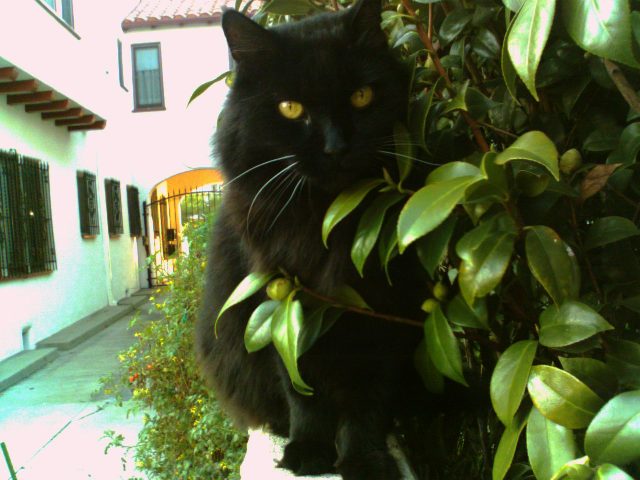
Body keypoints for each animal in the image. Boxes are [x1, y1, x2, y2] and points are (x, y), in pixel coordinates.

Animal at [192, 1, 428, 478]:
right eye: (290, 107)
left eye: (361, 97)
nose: (336, 147)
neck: (324, 222)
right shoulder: (282, 306)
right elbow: (301, 391)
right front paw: (309, 451)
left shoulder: (381, 311)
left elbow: (367, 402)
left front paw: (363, 460)